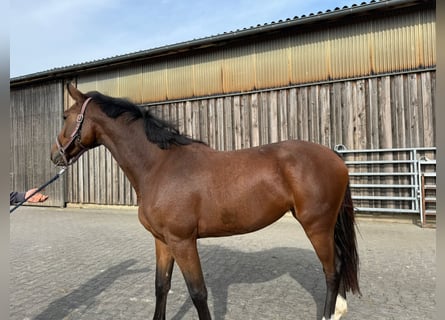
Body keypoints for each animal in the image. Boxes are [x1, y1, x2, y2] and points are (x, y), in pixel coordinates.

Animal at [50, 84, 360, 320]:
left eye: (65, 116)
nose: (55, 155)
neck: (160, 166)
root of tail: (334, 158)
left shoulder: (183, 241)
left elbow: (198, 292)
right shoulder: (163, 241)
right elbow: (161, 285)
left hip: (316, 226)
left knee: (332, 269)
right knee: (339, 263)